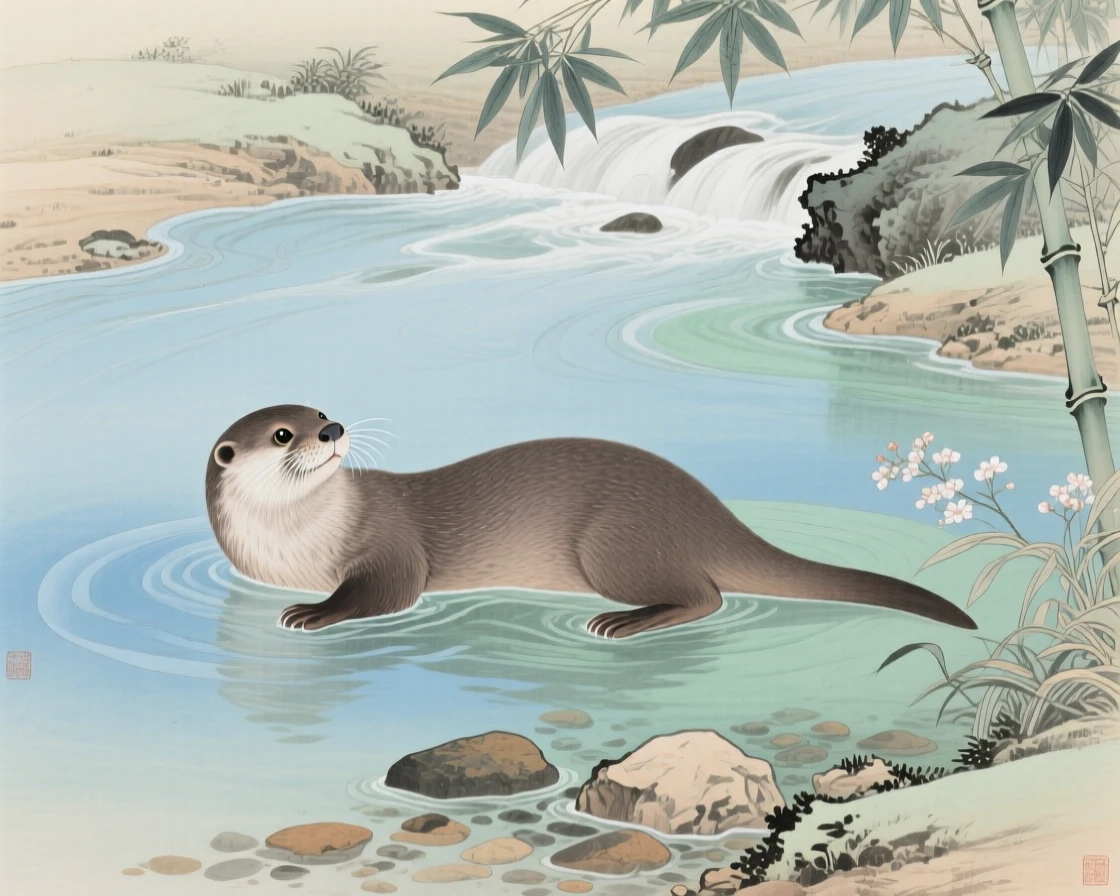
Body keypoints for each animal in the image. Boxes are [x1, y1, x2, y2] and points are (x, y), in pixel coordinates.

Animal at [205, 405, 976, 637]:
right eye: (284, 432)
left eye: (319, 411)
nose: (333, 428)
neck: (295, 547)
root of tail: (706, 512)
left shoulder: (389, 543)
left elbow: (387, 592)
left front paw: (313, 612)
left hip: (613, 542)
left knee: (707, 597)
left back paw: (619, 624)